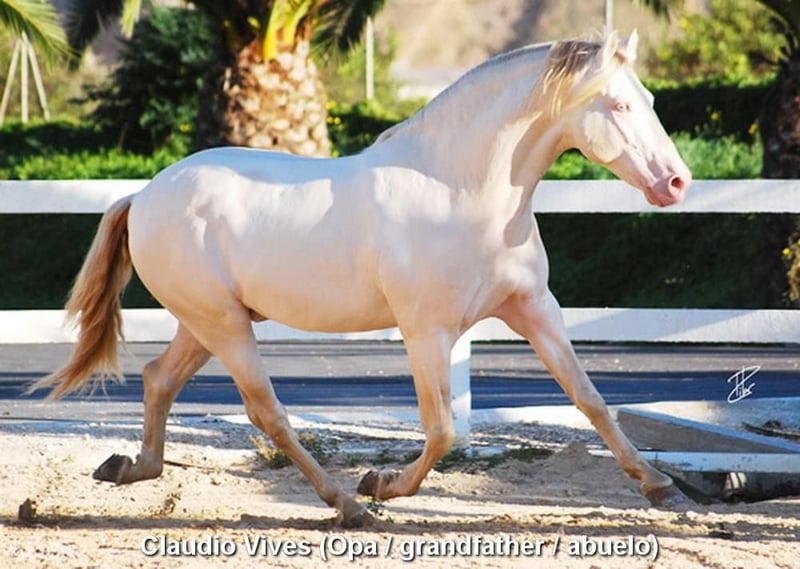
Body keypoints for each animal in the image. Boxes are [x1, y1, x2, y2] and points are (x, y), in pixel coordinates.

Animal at [31, 31, 692, 528]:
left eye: (652, 99)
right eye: (619, 106)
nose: (677, 183)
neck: (460, 190)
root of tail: (143, 195)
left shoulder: (533, 309)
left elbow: (592, 399)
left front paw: (661, 485)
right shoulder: (426, 331)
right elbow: (442, 430)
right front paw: (382, 482)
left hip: (208, 323)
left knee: (158, 379)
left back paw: (127, 467)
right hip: (222, 325)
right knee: (266, 412)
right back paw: (349, 505)